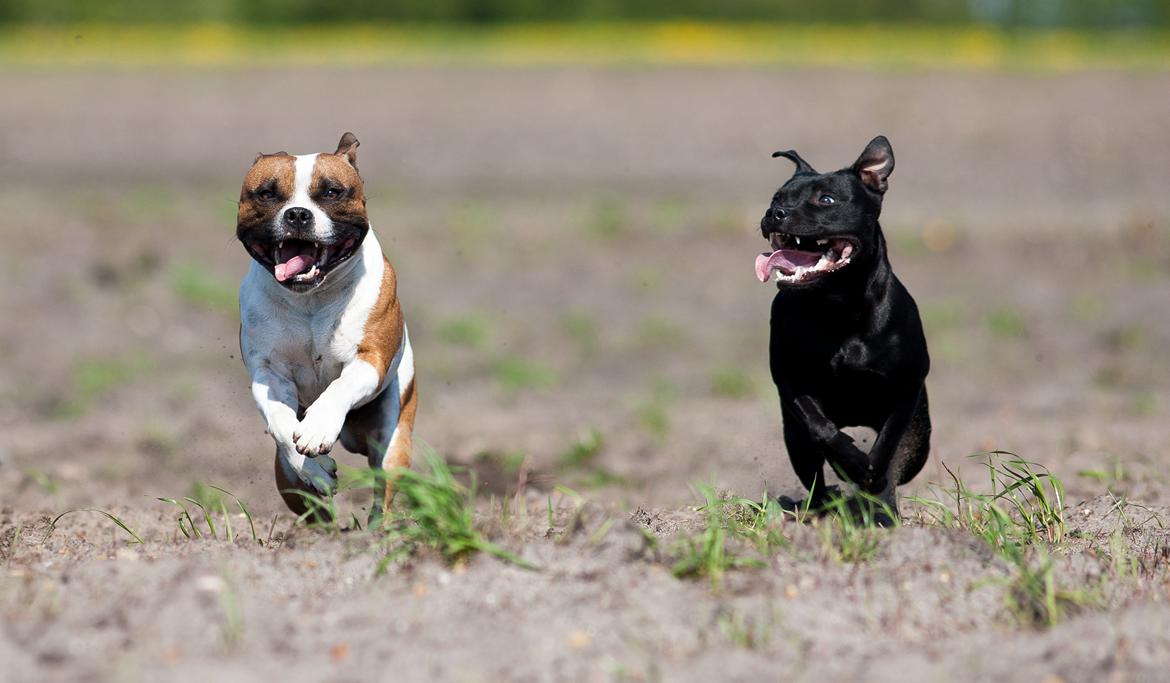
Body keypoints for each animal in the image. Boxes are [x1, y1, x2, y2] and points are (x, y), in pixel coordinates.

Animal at [235, 132, 414, 516]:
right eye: (266, 193)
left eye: (332, 192)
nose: (298, 214)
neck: (311, 300)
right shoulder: (268, 374)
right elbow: (280, 421)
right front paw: (315, 468)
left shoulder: (370, 360)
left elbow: (340, 387)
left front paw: (318, 428)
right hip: (288, 482)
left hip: (393, 441)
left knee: (384, 493)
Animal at [758, 136, 931, 519]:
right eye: (777, 198)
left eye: (826, 199)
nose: (775, 213)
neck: (836, 306)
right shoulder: (792, 382)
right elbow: (820, 427)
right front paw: (850, 463)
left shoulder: (905, 389)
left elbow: (888, 446)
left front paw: (873, 480)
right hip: (794, 440)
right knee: (814, 473)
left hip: (921, 437)